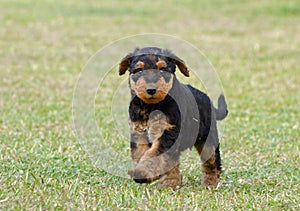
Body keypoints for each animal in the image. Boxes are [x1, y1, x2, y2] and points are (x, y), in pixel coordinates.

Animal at [119, 47, 227, 189]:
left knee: (212, 162)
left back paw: (210, 184)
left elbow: (153, 153)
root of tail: (206, 98)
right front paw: (146, 174)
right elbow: (141, 154)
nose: (151, 90)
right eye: (139, 70)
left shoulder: (168, 132)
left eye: (162, 69)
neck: (151, 107)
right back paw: (170, 183)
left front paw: (142, 172)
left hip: (207, 139)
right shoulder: (139, 132)